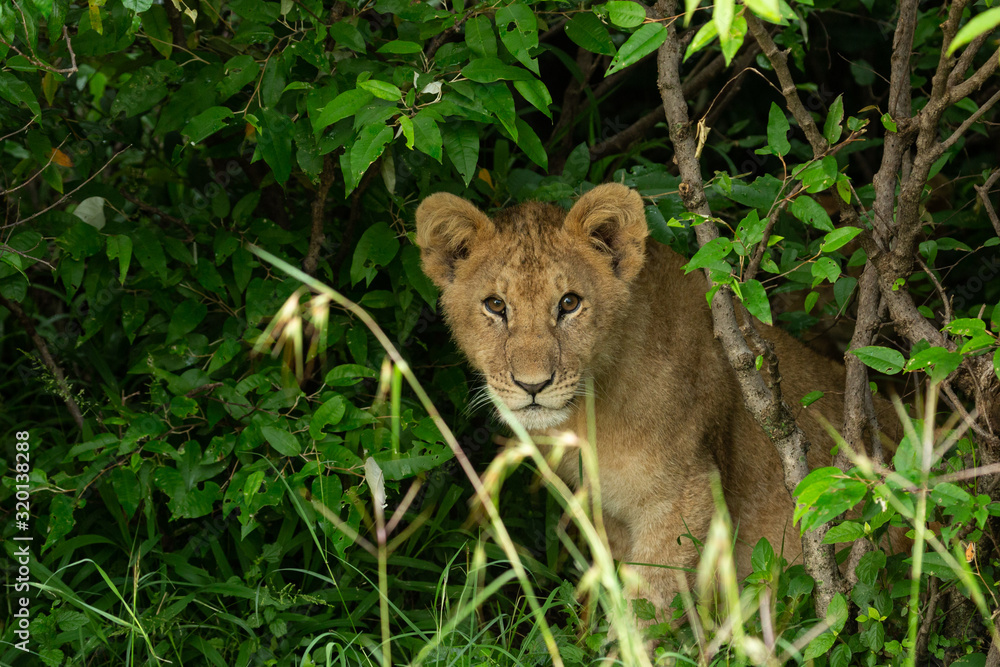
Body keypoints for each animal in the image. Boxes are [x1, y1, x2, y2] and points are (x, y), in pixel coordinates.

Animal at [414, 183, 865, 617]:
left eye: (569, 303)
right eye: (495, 305)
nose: (532, 385)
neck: (588, 415)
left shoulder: (687, 497)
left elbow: (651, 609)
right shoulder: (608, 513)